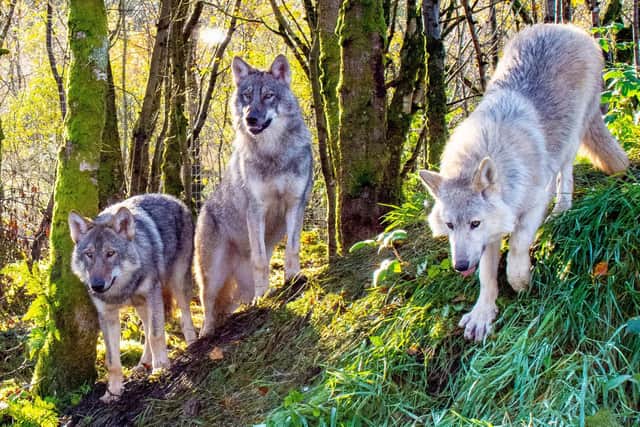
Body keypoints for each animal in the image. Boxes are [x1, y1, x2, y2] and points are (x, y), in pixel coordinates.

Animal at [68, 194, 197, 402]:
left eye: (110, 253)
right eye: (89, 255)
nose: (96, 285)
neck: (122, 289)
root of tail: (174, 199)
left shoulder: (153, 294)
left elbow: (156, 335)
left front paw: (161, 369)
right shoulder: (107, 316)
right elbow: (112, 361)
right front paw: (112, 392)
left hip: (177, 283)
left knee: (185, 316)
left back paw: (193, 343)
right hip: (141, 305)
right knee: (147, 327)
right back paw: (143, 364)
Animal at [194, 54, 313, 337]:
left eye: (269, 95)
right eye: (247, 96)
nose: (251, 119)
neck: (273, 154)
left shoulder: (296, 204)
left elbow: (292, 249)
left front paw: (293, 279)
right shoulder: (256, 210)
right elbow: (260, 260)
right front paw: (264, 298)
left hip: (239, 287)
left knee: (229, 305)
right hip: (212, 276)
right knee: (208, 307)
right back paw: (206, 333)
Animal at [419, 24, 628, 342]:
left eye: (475, 223)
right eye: (450, 225)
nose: (460, 266)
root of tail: (567, 27)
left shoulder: (533, 204)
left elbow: (517, 246)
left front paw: (521, 282)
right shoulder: (490, 236)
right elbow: (486, 275)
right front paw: (482, 314)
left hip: (571, 138)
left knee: (565, 173)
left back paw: (562, 210)